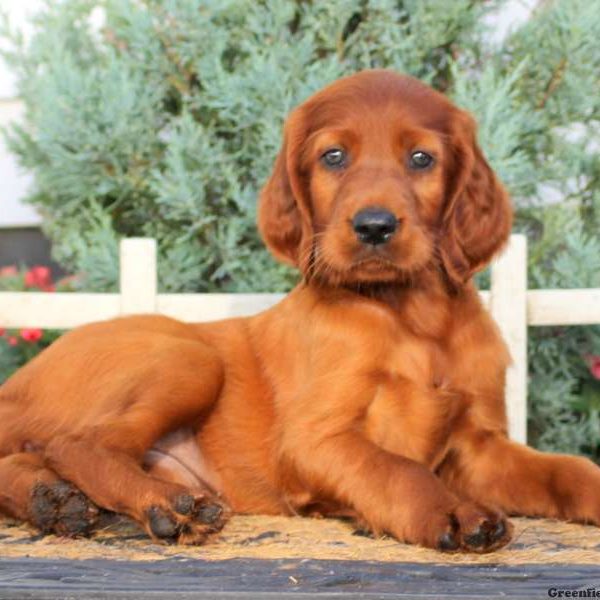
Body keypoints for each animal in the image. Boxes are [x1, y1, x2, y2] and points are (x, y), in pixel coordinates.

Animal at [1, 70, 600, 552]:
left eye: (421, 158)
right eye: (333, 156)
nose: (374, 226)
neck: (410, 316)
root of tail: (18, 383)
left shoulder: (478, 446)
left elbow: (563, 468)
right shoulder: (315, 440)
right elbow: (396, 468)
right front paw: (453, 510)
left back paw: (52, 501)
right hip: (189, 358)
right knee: (76, 444)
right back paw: (165, 504)